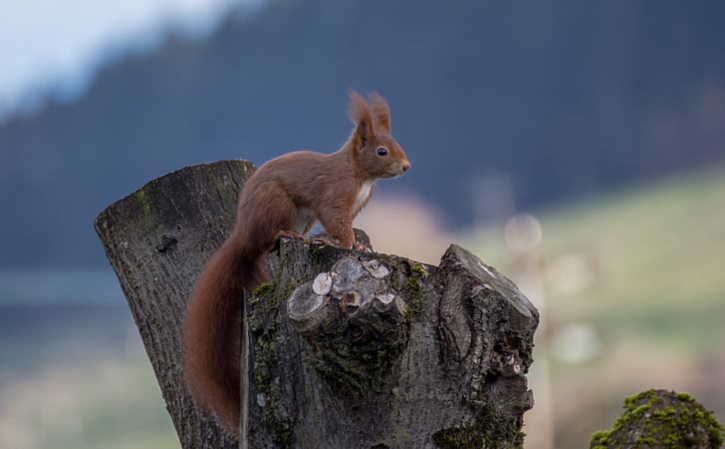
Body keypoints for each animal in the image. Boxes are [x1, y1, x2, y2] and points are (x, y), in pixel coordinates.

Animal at [181, 89, 410, 436]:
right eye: (382, 151)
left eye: (396, 144)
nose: (406, 166)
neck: (362, 176)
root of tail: (243, 232)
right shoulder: (335, 197)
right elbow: (336, 221)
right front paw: (348, 243)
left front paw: (352, 242)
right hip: (277, 204)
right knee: (268, 240)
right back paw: (289, 235)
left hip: (302, 215)